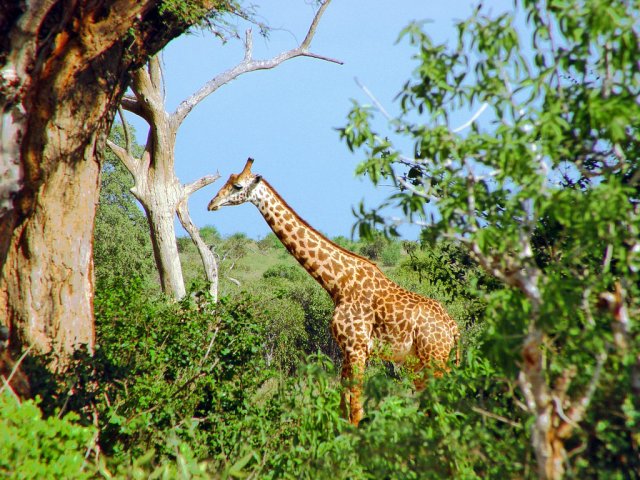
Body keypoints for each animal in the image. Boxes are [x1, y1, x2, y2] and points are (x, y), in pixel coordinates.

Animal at [210, 159, 460, 426]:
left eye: (237, 185)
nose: (211, 203)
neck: (338, 283)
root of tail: (453, 328)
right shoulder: (345, 349)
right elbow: (343, 404)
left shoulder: (358, 348)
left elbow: (356, 409)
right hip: (417, 363)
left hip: (434, 357)